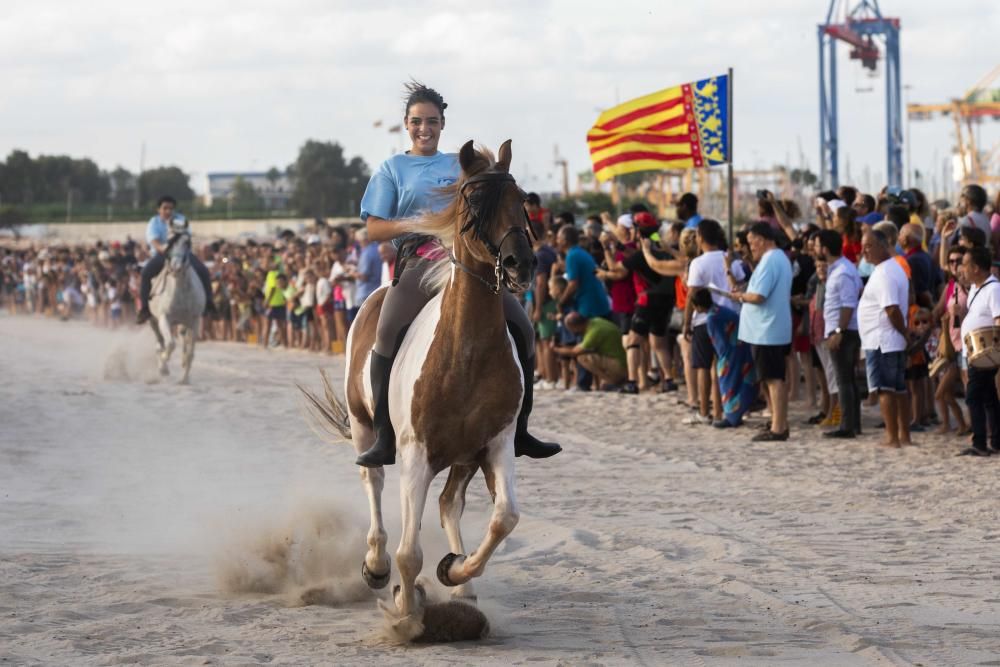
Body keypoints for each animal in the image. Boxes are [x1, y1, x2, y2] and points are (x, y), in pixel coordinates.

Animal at [148, 234, 205, 386]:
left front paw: (184, 379)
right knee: (159, 343)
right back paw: (162, 367)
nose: (175, 267)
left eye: (187, 244)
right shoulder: (164, 318)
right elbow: (170, 344)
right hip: (153, 320)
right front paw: (163, 367)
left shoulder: (195, 321)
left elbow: (190, 353)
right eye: (169, 245)